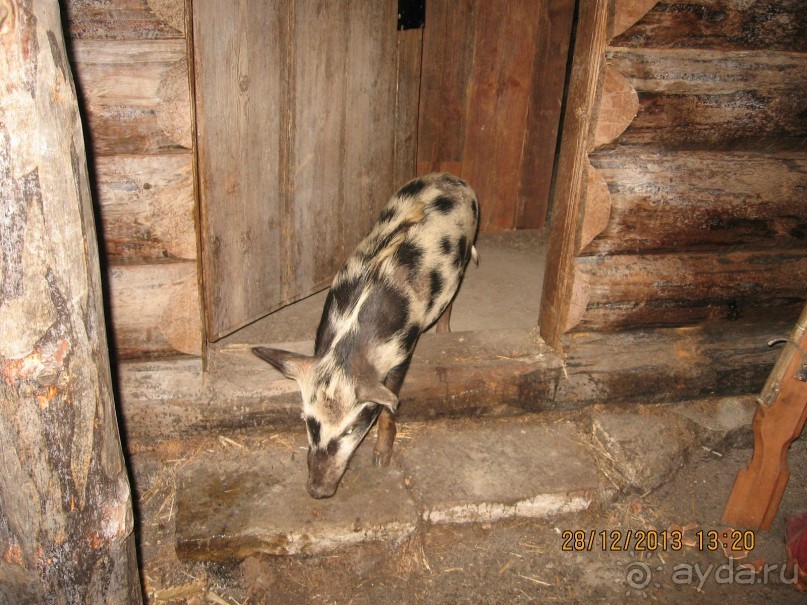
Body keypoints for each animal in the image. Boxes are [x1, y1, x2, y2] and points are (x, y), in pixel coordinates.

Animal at [254, 172, 480, 498]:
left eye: (350, 428)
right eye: (310, 423)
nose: (317, 490)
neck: (348, 350)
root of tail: (452, 177)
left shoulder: (402, 350)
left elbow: (389, 406)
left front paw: (381, 461)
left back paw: (444, 332)